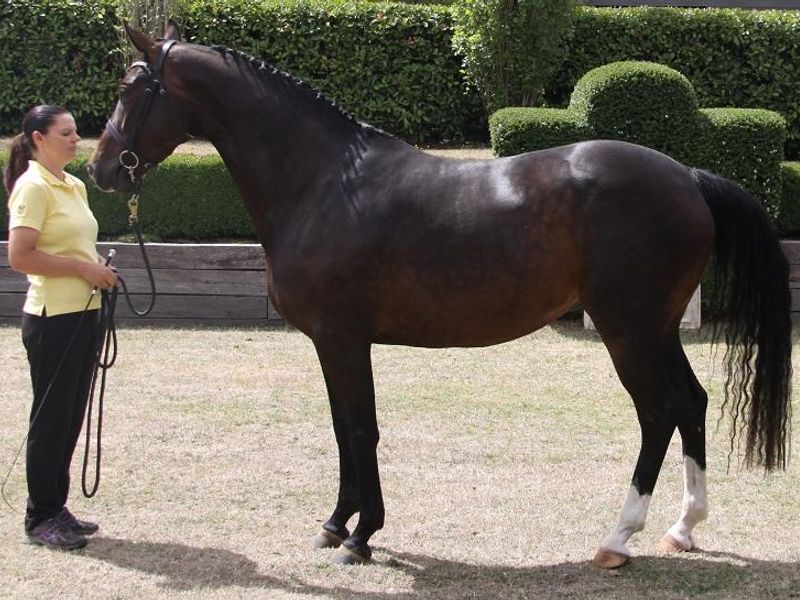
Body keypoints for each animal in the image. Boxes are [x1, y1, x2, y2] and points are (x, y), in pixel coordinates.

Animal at [87, 22, 792, 569]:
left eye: (130, 89)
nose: (99, 168)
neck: (324, 183)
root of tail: (688, 177)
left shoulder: (342, 338)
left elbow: (360, 428)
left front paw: (361, 535)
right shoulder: (332, 343)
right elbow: (343, 428)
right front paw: (336, 525)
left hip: (628, 329)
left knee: (659, 411)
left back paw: (619, 538)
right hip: (658, 327)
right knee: (691, 403)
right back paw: (683, 529)